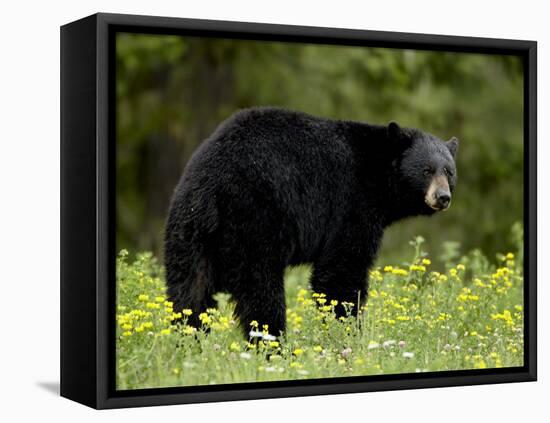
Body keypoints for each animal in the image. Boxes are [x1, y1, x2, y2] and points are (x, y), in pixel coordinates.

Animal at [165, 108, 462, 338]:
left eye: (448, 171)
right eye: (426, 170)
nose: (443, 197)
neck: (377, 176)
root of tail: (211, 184)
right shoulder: (350, 203)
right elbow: (341, 272)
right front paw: (348, 332)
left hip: (189, 230)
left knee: (189, 290)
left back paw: (189, 341)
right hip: (254, 221)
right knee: (260, 290)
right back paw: (273, 345)